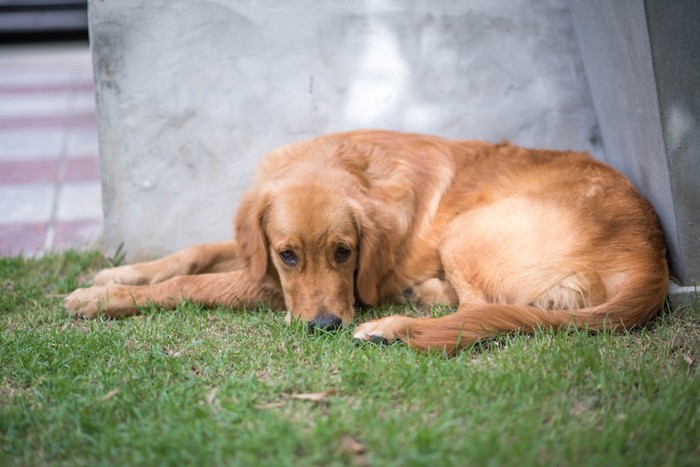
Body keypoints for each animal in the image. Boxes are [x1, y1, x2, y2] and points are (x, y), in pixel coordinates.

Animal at [64, 130, 668, 352]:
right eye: (288, 254)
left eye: (344, 252)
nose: (326, 326)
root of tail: (652, 252)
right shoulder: (261, 259)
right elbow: (192, 253)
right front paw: (114, 274)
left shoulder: (274, 288)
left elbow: (193, 284)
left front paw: (102, 298)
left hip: (469, 230)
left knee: (475, 313)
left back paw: (394, 325)